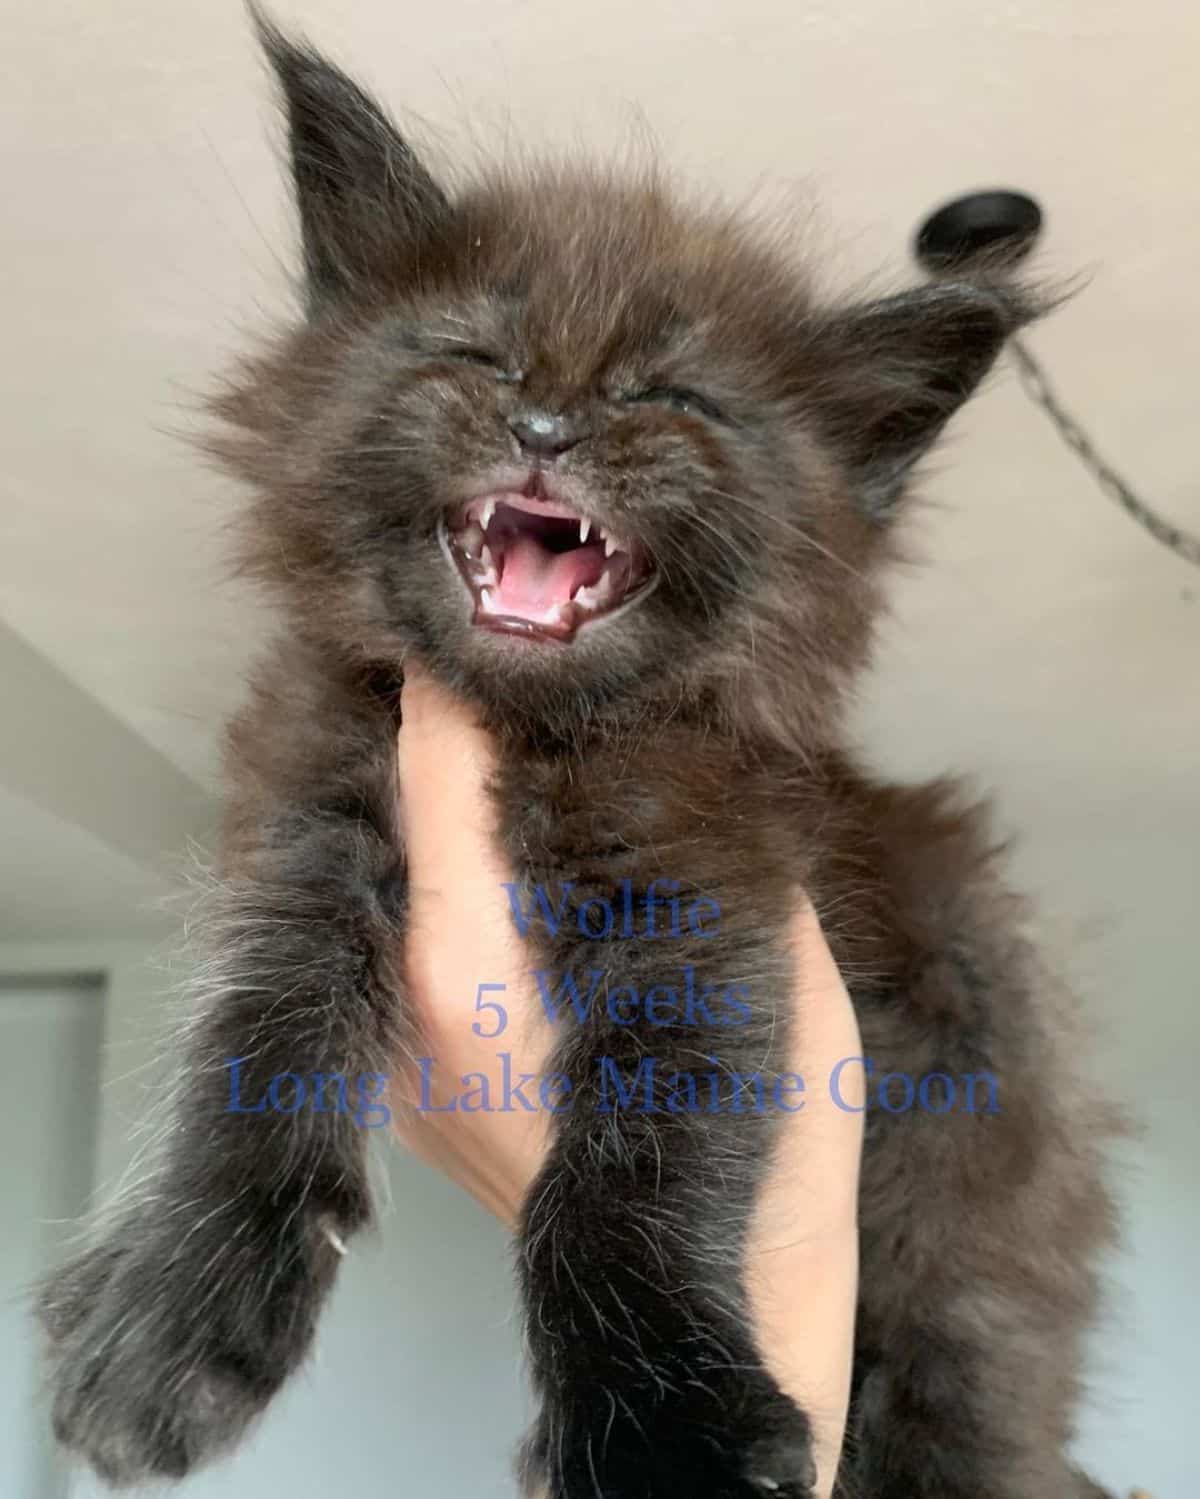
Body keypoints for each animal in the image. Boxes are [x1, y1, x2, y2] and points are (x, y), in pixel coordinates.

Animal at [39, 14, 1126, 1499]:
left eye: (669, 394)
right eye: (481, 355)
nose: (548, 428)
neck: (523, 733)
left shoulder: (704, 892)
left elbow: (627, 1171)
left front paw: (663, 1429)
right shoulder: (305, 814)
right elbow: (254, 1037)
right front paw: (173, 1303)